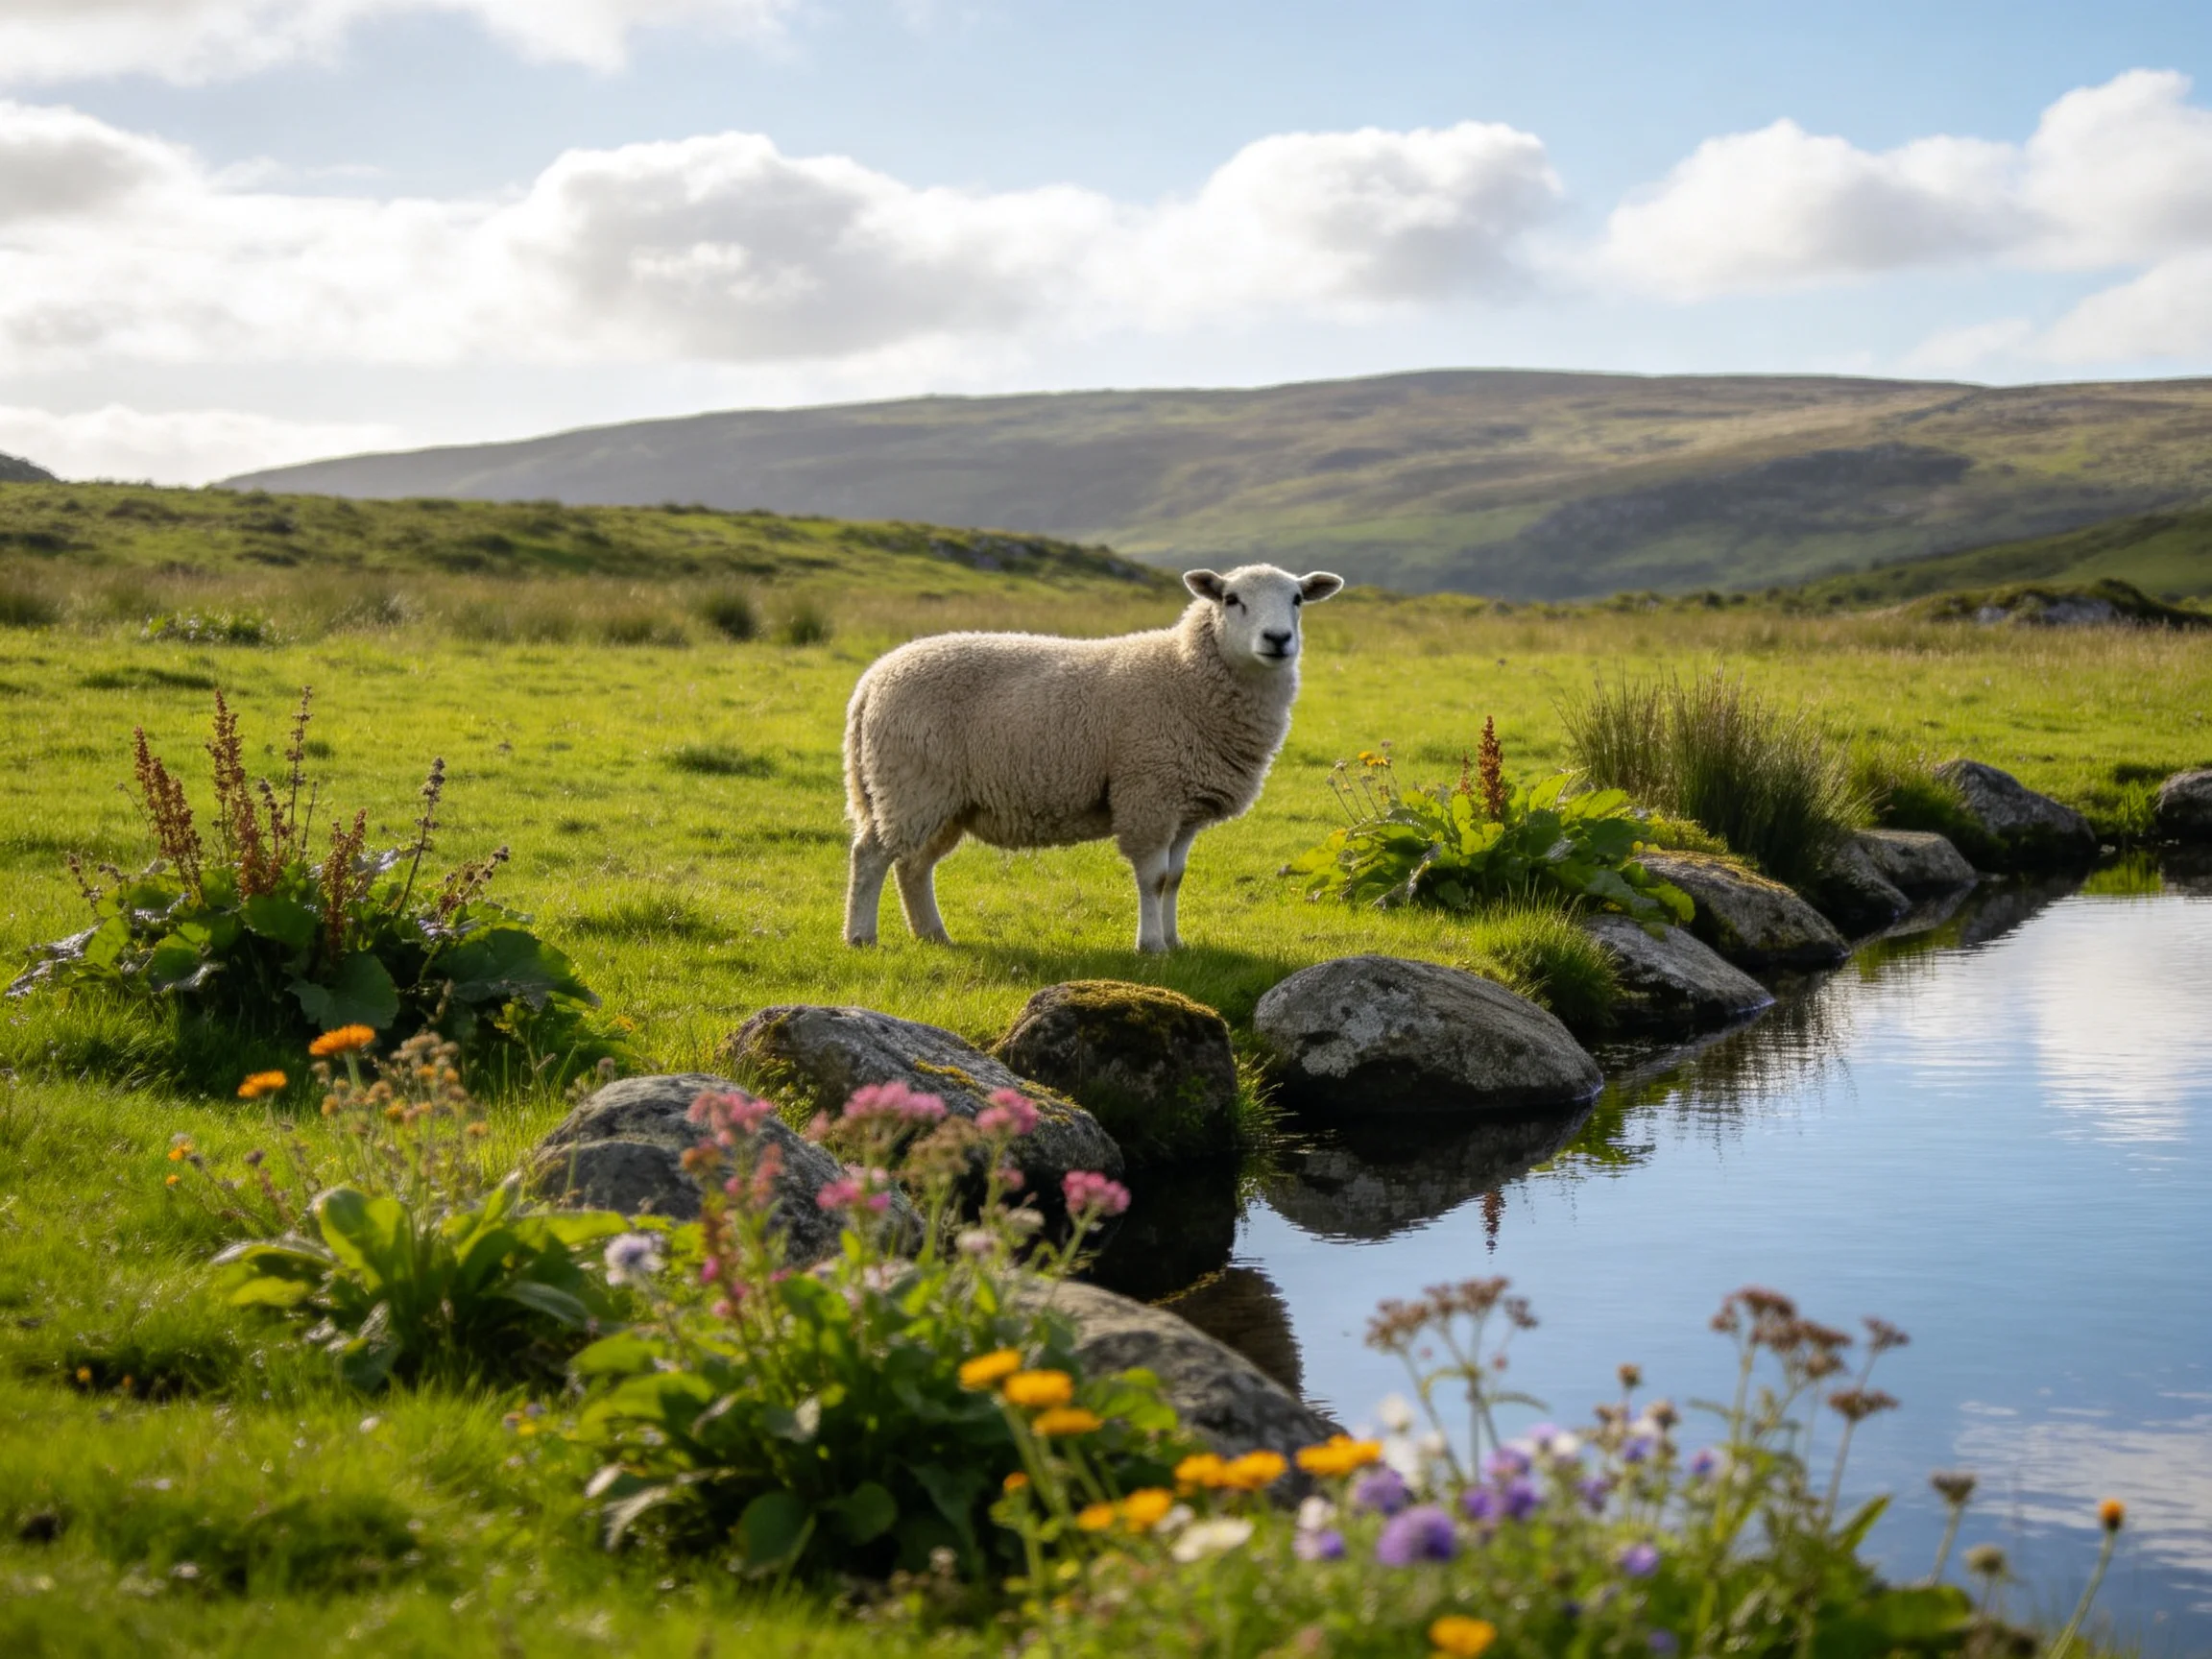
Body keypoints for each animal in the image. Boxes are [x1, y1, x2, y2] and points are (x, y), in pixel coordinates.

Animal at [843, 564, 1344, 953]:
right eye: (1231, 599)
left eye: (1298, 599)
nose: (1278, 638)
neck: (1187, 674)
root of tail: (871, 680)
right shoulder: (1148, 794)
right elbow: (1154, 878)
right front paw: (1151, 946)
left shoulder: (1185, 808)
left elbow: (1176, 878)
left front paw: (1176, 942)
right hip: (911, 784)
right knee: (870, 855)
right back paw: (861, 937)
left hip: (941, 800)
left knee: (913, 866)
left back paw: (932, 935)